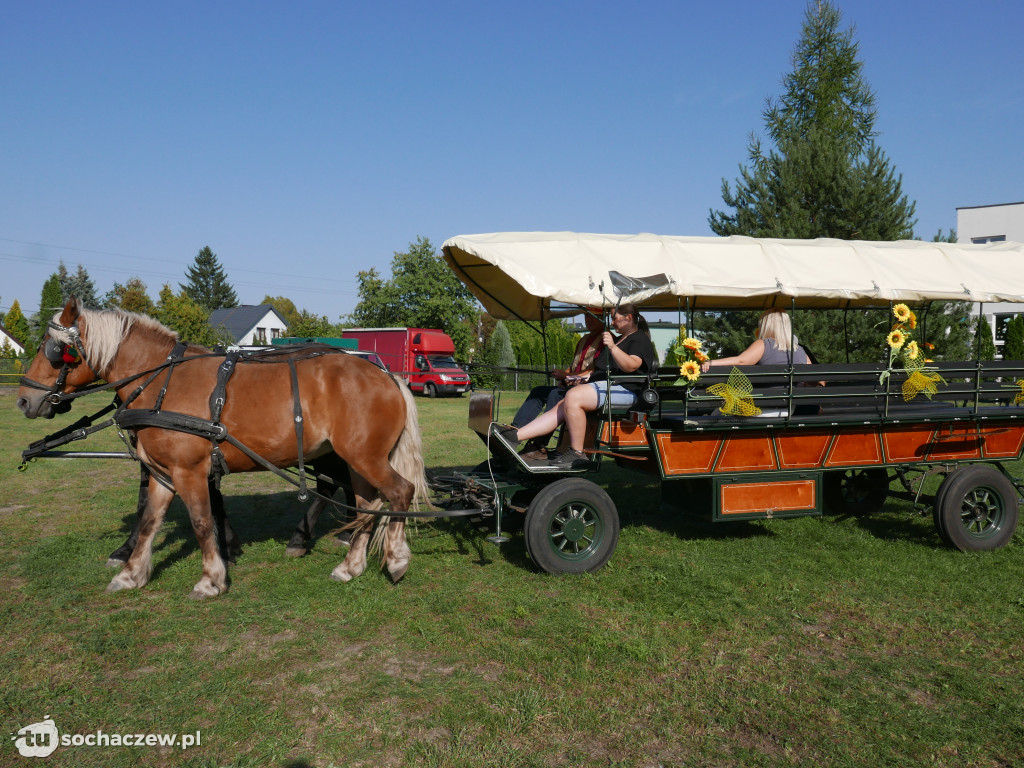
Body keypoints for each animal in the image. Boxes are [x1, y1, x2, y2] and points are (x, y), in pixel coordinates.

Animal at [18, 299, 430, 593]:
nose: (23, 399)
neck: (161, 381)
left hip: (363, 457)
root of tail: (387, 375)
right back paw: (350, 565)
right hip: (354, 459)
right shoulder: (165, 473)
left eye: (53, 349)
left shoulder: (189, 470)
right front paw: (131, 573)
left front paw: (211, 578)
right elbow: (150, 520)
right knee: (366, 502)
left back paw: (394, 560)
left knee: (398, 492)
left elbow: (202, 521)